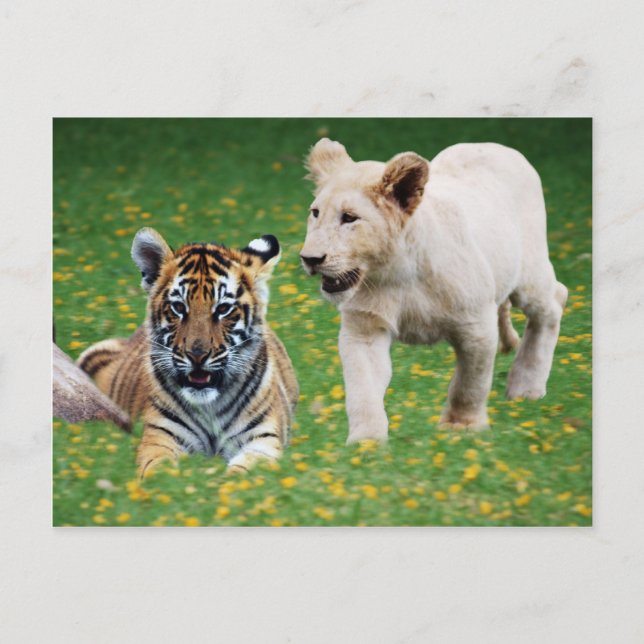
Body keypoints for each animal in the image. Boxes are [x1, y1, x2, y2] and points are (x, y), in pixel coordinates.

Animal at [77, 227, 299, 476]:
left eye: (223, 309)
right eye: (179, 307)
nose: (197, 355)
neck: (210, 405)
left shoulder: (263, 440)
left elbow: (243, 474)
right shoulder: (160, 437)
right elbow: (159, 472)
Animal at [300, 138, 567, 444]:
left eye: (349, 218)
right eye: (315, 213)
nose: (310, 258)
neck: (396, 273)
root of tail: (497, 146)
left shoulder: (476, 323)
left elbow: (470, 383)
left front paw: (462, 426)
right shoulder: (364, 327)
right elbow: (363, 387)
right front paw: (366, 442)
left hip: (528, 273)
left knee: (554, 300)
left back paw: (526, 387)